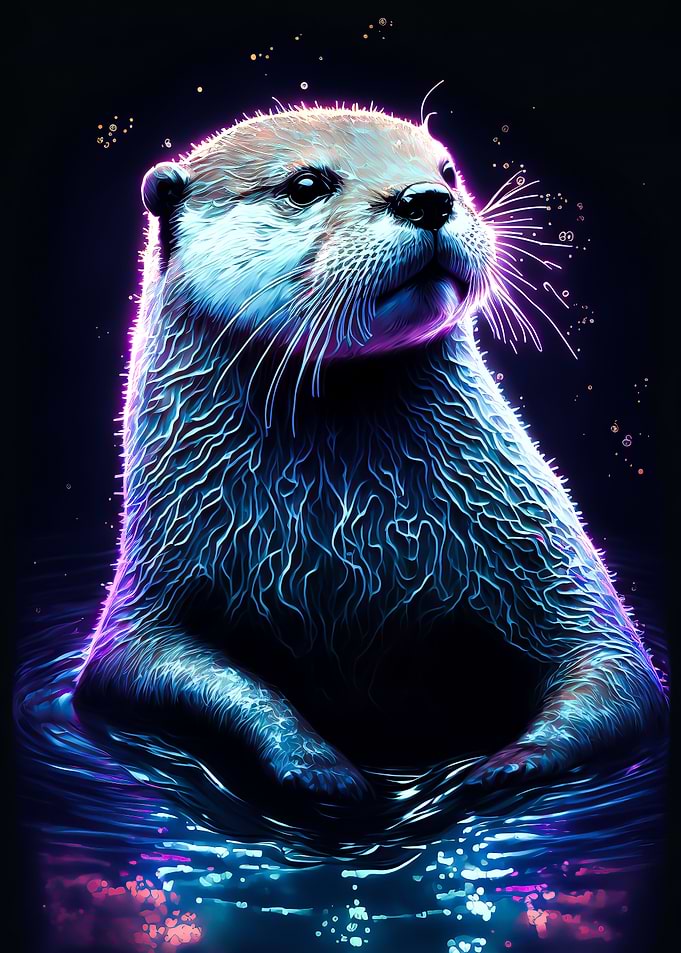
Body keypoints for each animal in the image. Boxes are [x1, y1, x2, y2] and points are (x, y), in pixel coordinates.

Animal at [74, 106, 665, 805]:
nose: (428, 198)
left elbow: (614, 663)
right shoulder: (148, 599)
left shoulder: (543, 551)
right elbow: (161, 672)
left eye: (447, 170)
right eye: (307, 184)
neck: (353, 546)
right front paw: (316, 765)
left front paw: (505, 765)